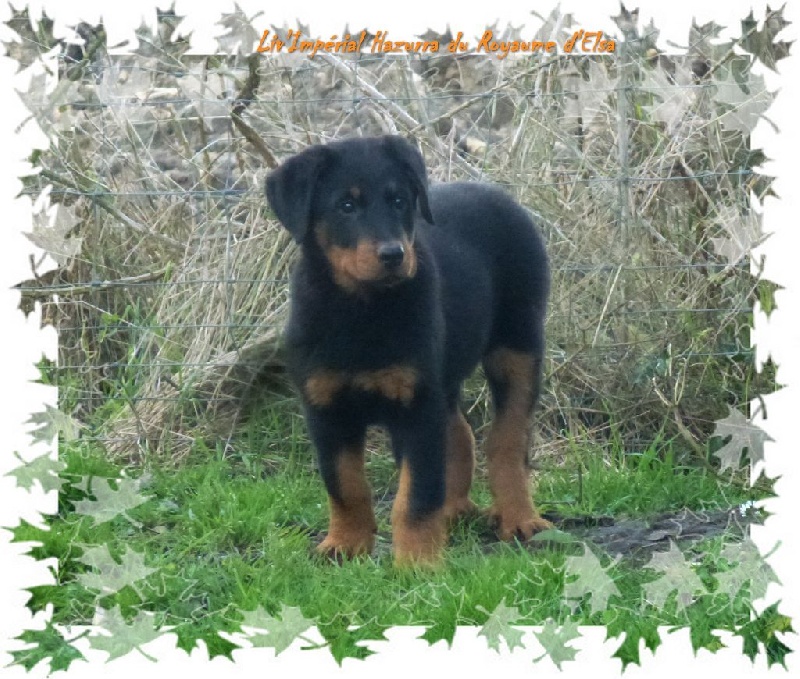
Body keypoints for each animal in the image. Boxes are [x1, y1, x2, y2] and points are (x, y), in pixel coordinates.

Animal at [265, 135, 550, 566]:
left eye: (399, 201)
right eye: (346, 206)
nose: (393, 254)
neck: (362, 310)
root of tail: (495, 192)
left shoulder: (417, 408)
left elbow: (415, 495)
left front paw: (418, 563)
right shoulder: (325, 408)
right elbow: (345, 485)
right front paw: (345, 545)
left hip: (517, 347)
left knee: (507, 440)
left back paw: (520, 518)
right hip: (445, 377)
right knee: (459, 434)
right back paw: (453, 512)